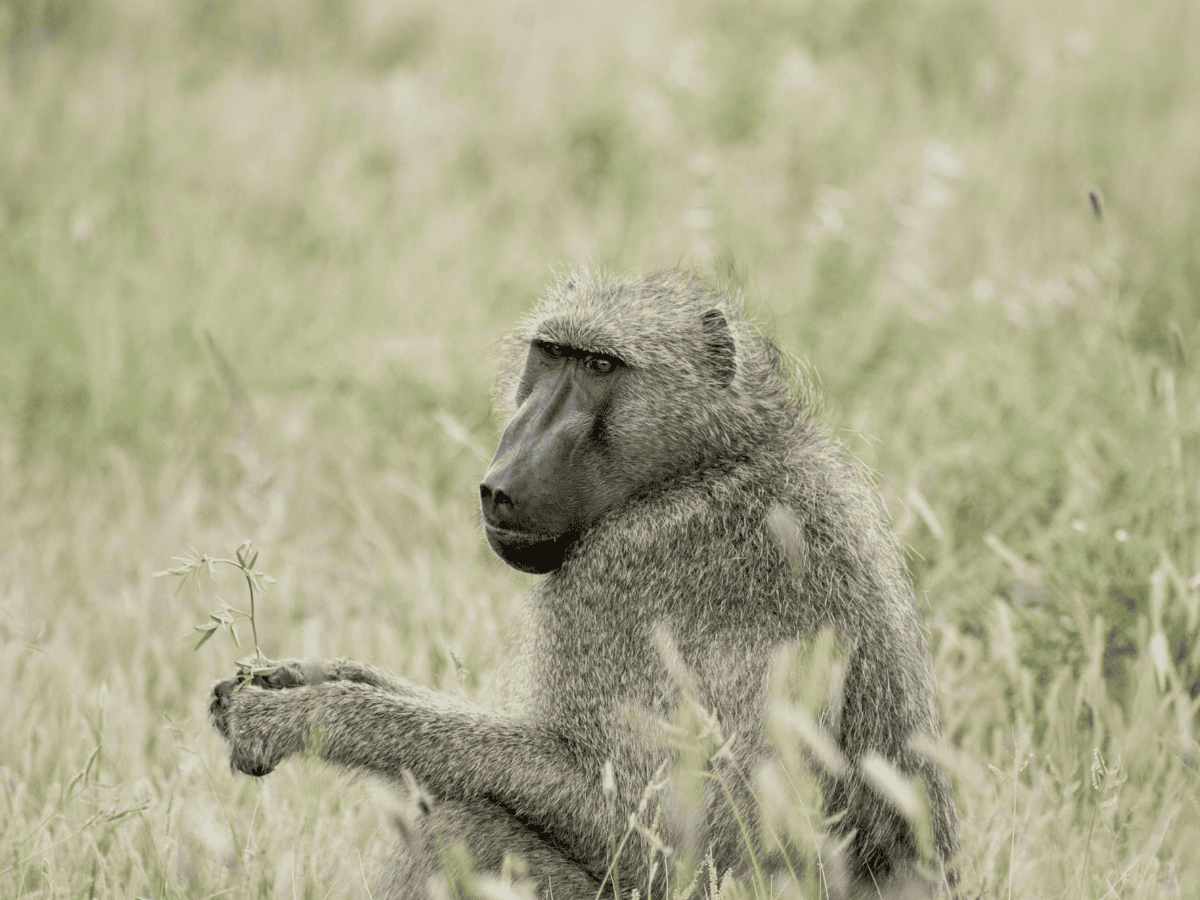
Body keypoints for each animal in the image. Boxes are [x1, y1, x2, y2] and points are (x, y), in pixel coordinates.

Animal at [209, 268, 959, 899]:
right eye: (550, 355)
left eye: (600, 366)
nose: (501, 482)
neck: (711, 458)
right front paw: (299, 679)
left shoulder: (624, 570)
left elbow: (648, 827)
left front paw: (305, 717)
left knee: (462, 830)